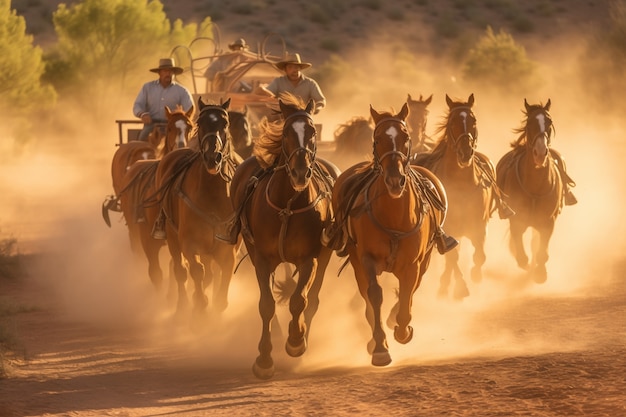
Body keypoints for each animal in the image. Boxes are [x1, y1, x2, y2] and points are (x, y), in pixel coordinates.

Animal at [154, 96, 244, 312]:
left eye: (225, 123)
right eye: (200, 123)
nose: (213, 157)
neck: (213, 196)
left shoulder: (227, 249)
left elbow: (222, 277)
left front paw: (214, 304)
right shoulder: (188, 242)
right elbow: (196, 270)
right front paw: (199, 305)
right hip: (172, 237)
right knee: (179, 269)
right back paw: (182, 305)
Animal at [227, 92, 336, 378]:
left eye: (312, 131)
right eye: (286, 132)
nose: (299, 172)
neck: (287, 204)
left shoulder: (310, 258)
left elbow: (300, 300)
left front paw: (296, 340)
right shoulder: (262, 259)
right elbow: (266, 304)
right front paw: (264, 359)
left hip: (326, 255)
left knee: (313, 299)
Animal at [326, 102, 448, 366]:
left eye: (405, 137)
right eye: (378, 138)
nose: (394, 180)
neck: (393, 216)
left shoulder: (413, 263)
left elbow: (407, 292)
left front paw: (402, 328)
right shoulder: (366, 260)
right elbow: (374, 295)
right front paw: (380, 347)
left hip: (426, 258)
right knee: (366, 295)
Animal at [410, 92, 502, 298]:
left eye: (473, 121)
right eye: (452, 122)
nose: (465, 152)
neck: (462, 183)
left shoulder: (479, 226)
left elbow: (479, 256)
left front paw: (476, 276)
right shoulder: (450, 226)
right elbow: (453, 258)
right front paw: (459, 288)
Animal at [494, 97, 564, 282]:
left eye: (549, 122)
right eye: (529, 123)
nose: (540, 152)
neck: (535, 186)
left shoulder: (548, 222)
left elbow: (541, 251)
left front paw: (540, 273)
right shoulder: (517, 221)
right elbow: (521, 256)